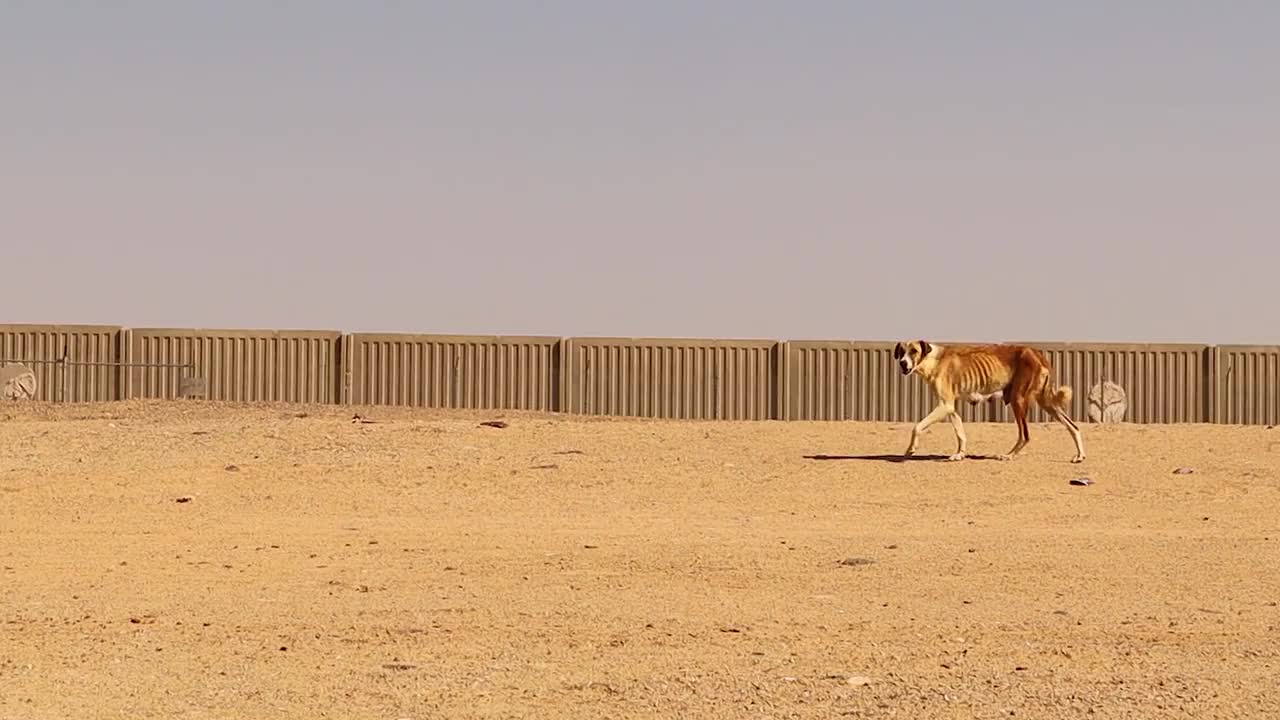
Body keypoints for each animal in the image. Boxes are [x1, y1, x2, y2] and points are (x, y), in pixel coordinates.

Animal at [896, 340, 1085, 461]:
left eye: (913, 351)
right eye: (901, 352)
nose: (903, 364)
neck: (933, 360)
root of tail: (1036, 352)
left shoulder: (944, 405)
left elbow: (916, 427)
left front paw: (910, 449)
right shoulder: (949, 407)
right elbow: (960, 433)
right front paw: (960, 454)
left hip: (1018, 400)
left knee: (1025, 435)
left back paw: (1009, 456)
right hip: (1047, 403)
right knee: (1073, 427)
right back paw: (1080, 456)